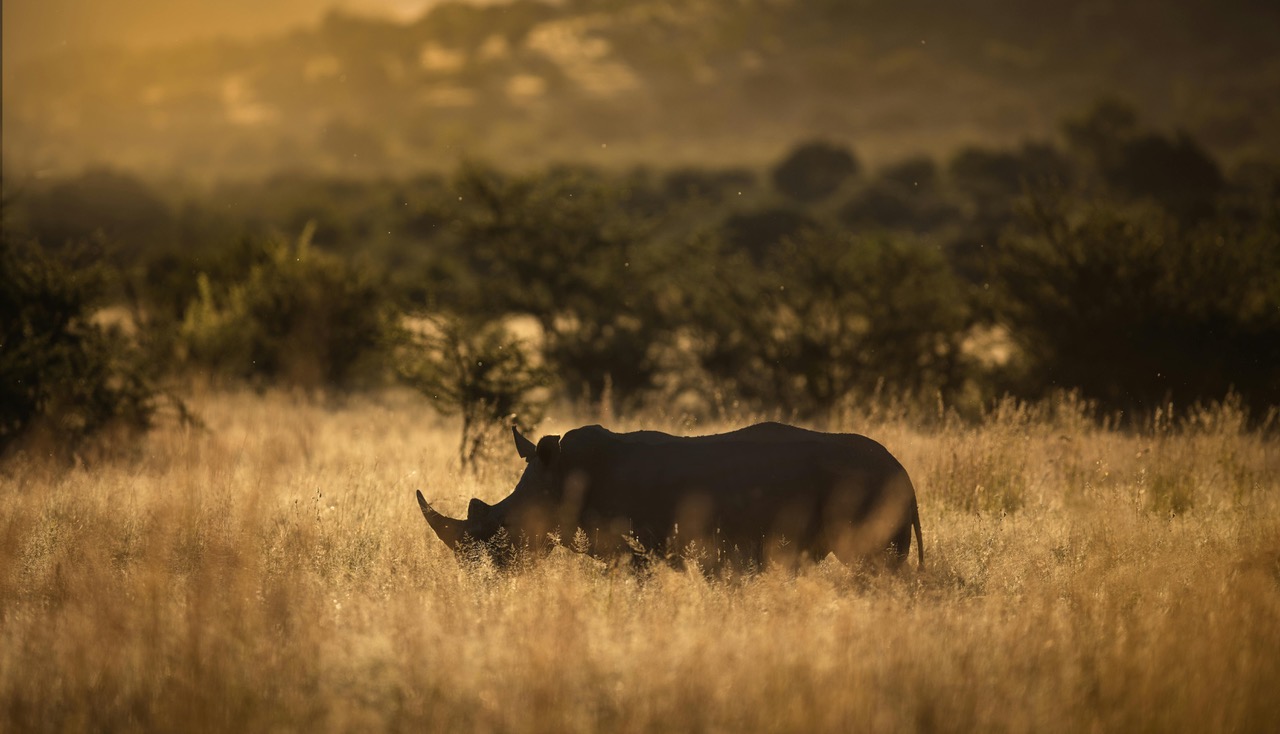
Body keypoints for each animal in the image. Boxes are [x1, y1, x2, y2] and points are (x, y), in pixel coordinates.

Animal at [416, 422, 923, 571]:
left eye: (504, 528)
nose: (478, 571)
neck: (561, 475)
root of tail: (907, 476)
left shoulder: (635, 549)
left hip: (875, 490)